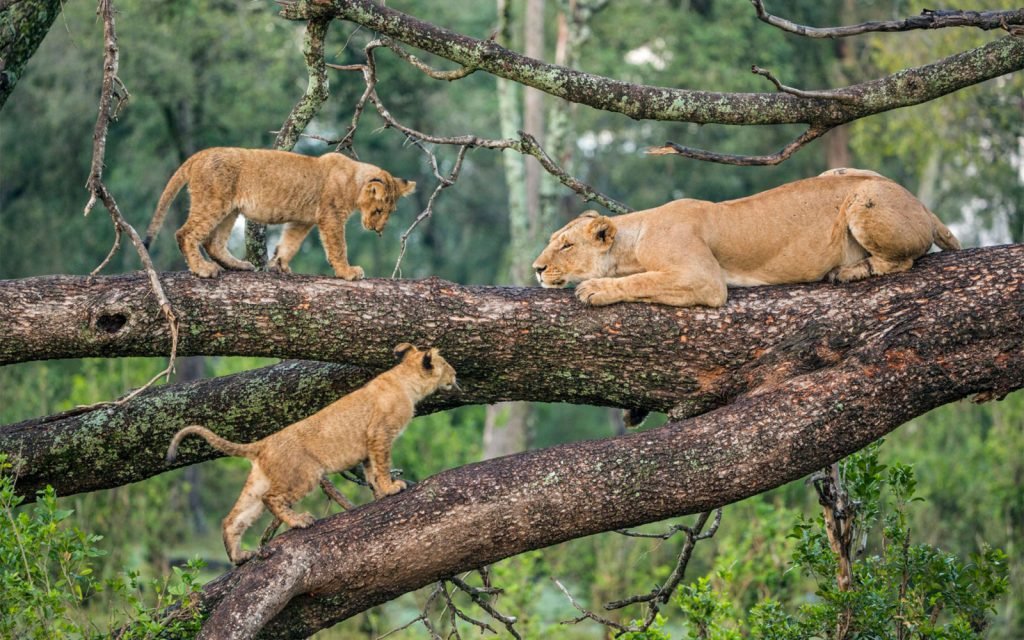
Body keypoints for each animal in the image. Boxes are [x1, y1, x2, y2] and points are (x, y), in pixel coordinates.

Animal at [144, 147, 416, 279]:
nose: (378, 231)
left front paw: (279, 265)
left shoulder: (303, 221)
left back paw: (239, 265)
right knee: (185, 234)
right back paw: (203, 269)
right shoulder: (331, 217)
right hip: (213, 202)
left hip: (230, 209)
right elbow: (338, 247)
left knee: (214, 242)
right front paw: (348, 272)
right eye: (378, 210)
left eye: (390, 212)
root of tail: (201, 154)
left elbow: (290, 244)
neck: (353, 180)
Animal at [165, 343, 457, 565]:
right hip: (305, 474)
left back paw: (239, 556)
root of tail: (263, 443)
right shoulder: (380, 435)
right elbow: (382, 466)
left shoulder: (367, 447)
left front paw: (380, 494)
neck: (405, 380)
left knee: (232, 519)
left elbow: (371, 472)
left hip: (258, 483)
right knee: (272, 499)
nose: (457, 375)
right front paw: (392, 488)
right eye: (446, 363)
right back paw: (299, 521)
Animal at [532, 169, 960, 307]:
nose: (536, 268)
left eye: (566, 245)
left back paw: (849, 271)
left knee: (900, 260)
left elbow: (643, 280)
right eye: (553, 238)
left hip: (862, 199)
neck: (633, 238)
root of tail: (922, 205)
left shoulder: (704, 278)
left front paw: (594, 289)